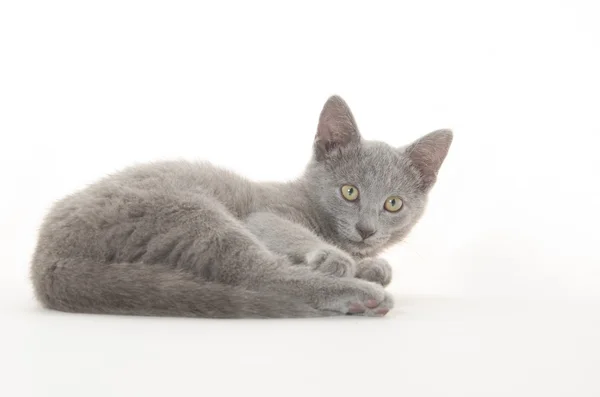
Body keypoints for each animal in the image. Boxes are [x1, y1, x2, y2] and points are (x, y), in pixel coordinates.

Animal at [28, 96, 450, 318]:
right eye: (349, 192)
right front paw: (335, 258)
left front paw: (373, 265)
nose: (366, 230)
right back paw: (361, 295)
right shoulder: (264, 214)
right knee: (260, 275)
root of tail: (45, 260)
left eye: (393, 204)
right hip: (190, 211)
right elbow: (286, 231)